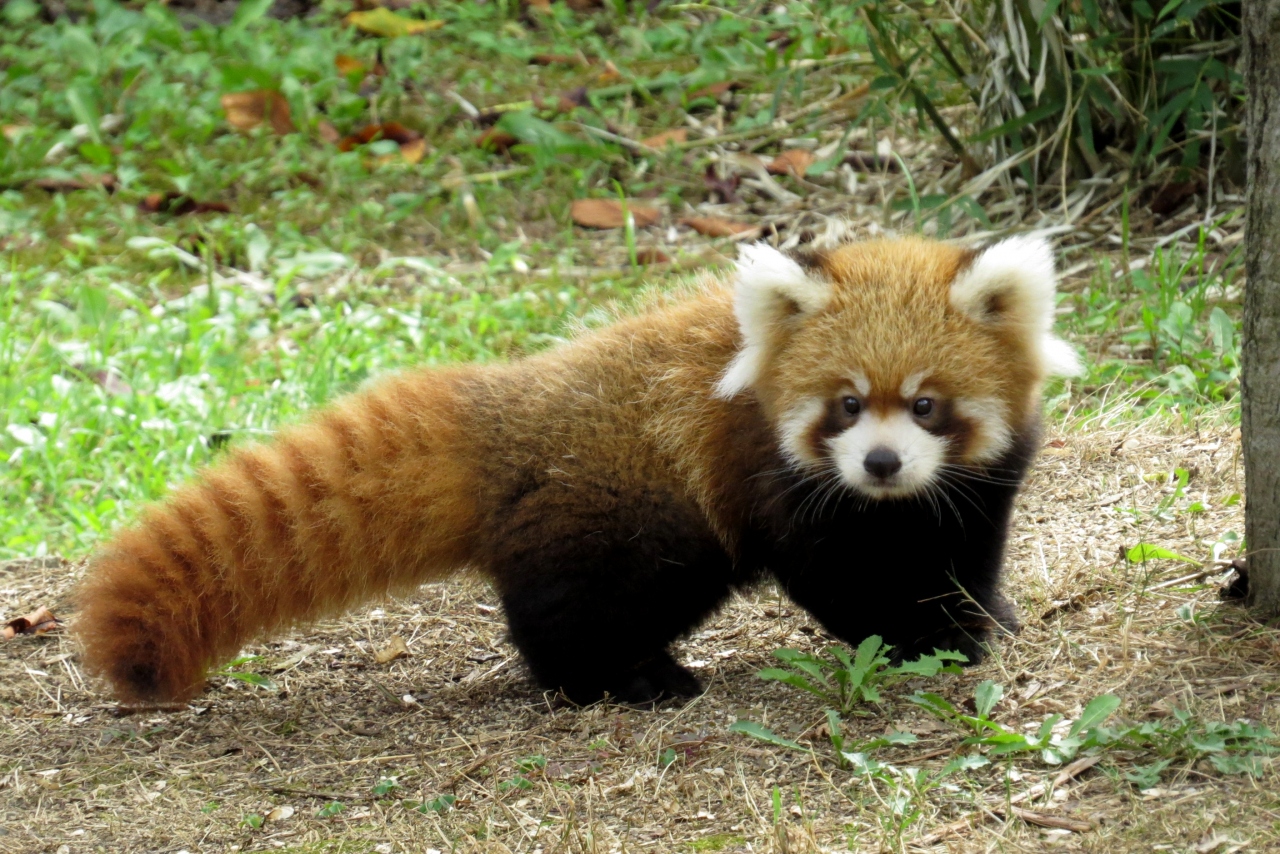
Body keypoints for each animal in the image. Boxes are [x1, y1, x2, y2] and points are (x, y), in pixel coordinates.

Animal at [74, 235, 1080, 706]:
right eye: (843, 404)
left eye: (925, 406)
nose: (878, 463)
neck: (892, 504)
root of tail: (509, 409)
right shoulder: (773, 478)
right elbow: (836, 578)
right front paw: (922, 637)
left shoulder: (978, 486)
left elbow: (966, 547)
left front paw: (980, 614)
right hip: (625, 512)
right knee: (582, 606)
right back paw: (627, 679)